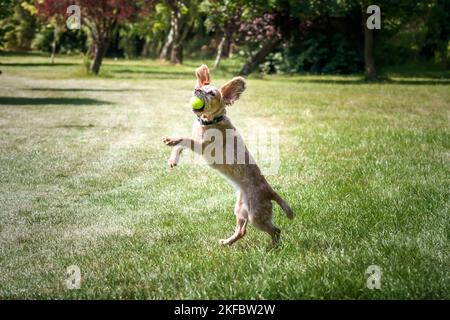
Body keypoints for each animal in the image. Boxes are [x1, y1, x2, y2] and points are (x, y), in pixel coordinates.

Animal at [163, 64, 294, 245]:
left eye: (212, 93)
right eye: (201, 87)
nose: (197, 90)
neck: (210, 120)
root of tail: (270, 190)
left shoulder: (202, 145)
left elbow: (184, 139)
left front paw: (172, 140)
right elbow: (180, 146)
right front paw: (172, 160)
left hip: (255, 216)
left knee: (275, 230)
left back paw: (274, 246)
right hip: (240, 209)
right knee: (242, 231)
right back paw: (227, 242)